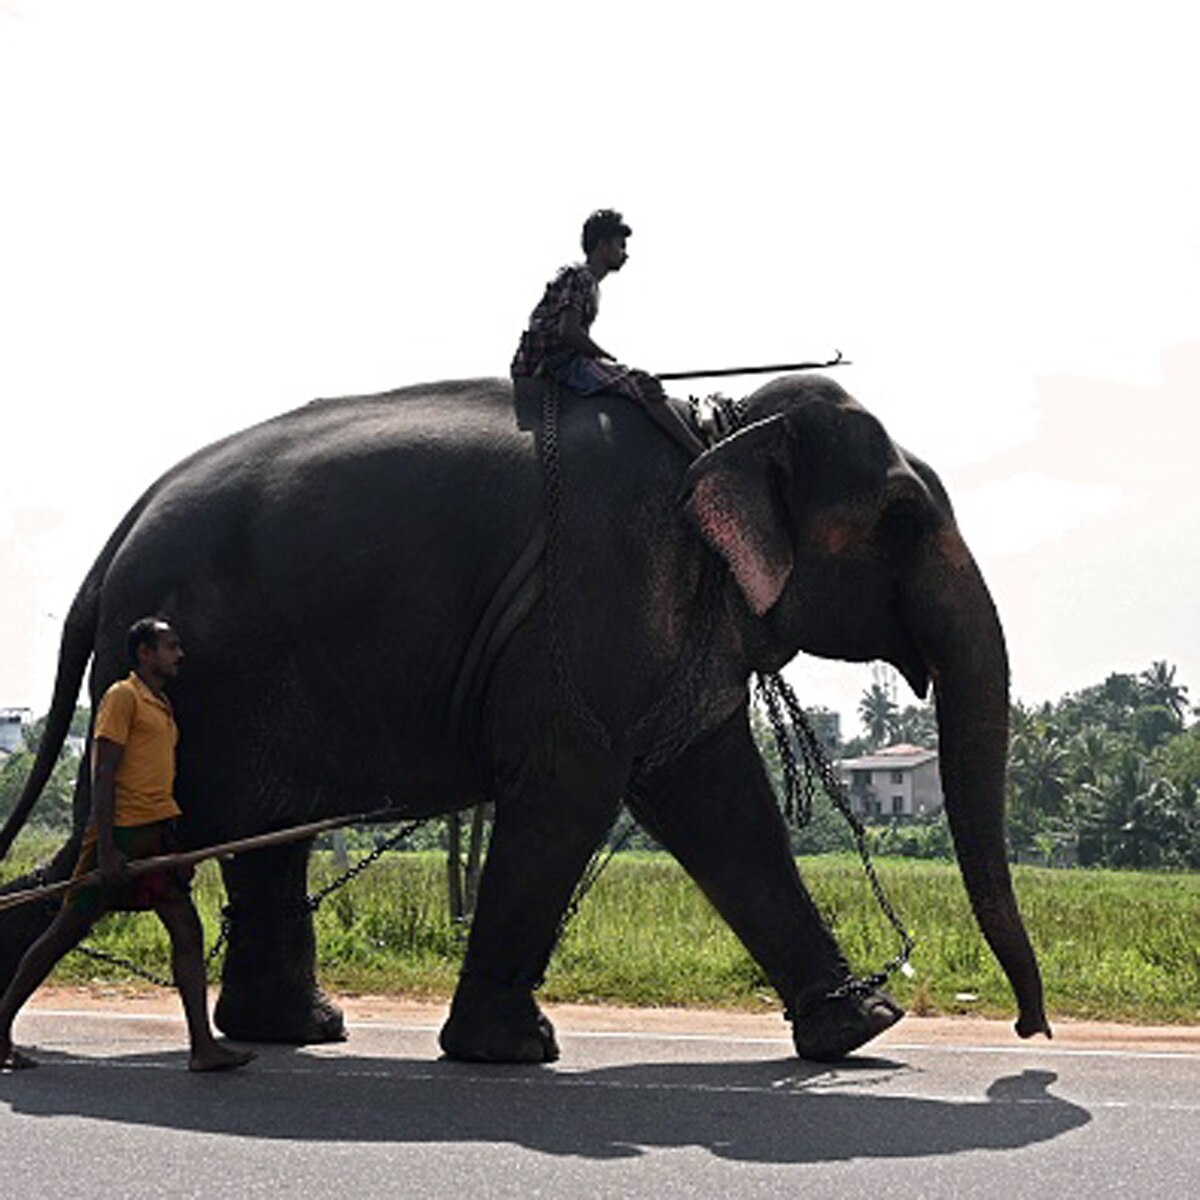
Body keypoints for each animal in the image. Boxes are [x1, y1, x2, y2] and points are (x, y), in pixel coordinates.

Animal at [0, 373, 1050, 1062]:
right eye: (902, 518)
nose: (1029, 1027)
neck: (712, 430)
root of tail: (111, 551)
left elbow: (714, 796)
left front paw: (864, 1029)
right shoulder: (596, 589)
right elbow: (571, 781)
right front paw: (513, 1051)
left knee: (258, 839)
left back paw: (296, 1034)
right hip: (193, 687)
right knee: (124, 856)